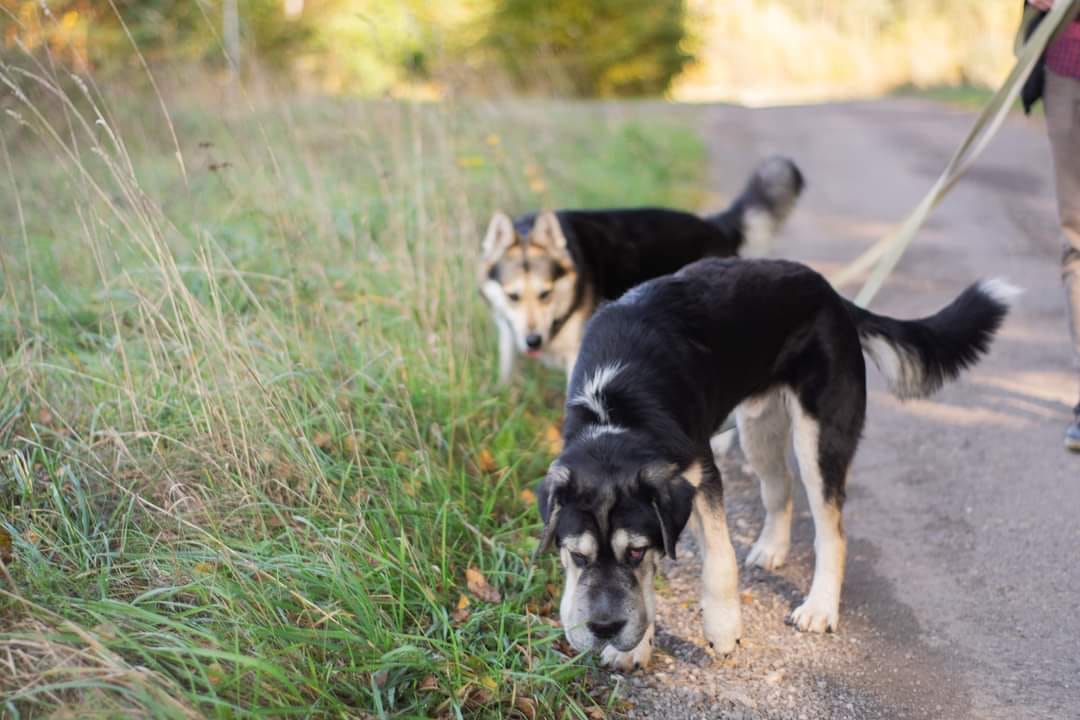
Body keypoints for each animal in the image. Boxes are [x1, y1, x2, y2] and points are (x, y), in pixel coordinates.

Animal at [478, 156, 805, 384]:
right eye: (513, 297)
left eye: (545, 294)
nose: (533, 341)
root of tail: (715, 225)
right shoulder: (507, 333)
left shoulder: (578, 356)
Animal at [533, 257, 1015, 671]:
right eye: (576, 555)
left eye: (634, 551)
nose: (604, 628)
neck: (615, 408)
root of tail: (831, 294)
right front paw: (632, 649)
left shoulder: (702, 473)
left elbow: (719, 559)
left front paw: (723, 629)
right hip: (756, 429)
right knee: (779, 487)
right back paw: (771, 549)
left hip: (818, 438)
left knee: (831, 531)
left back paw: (819, 608)